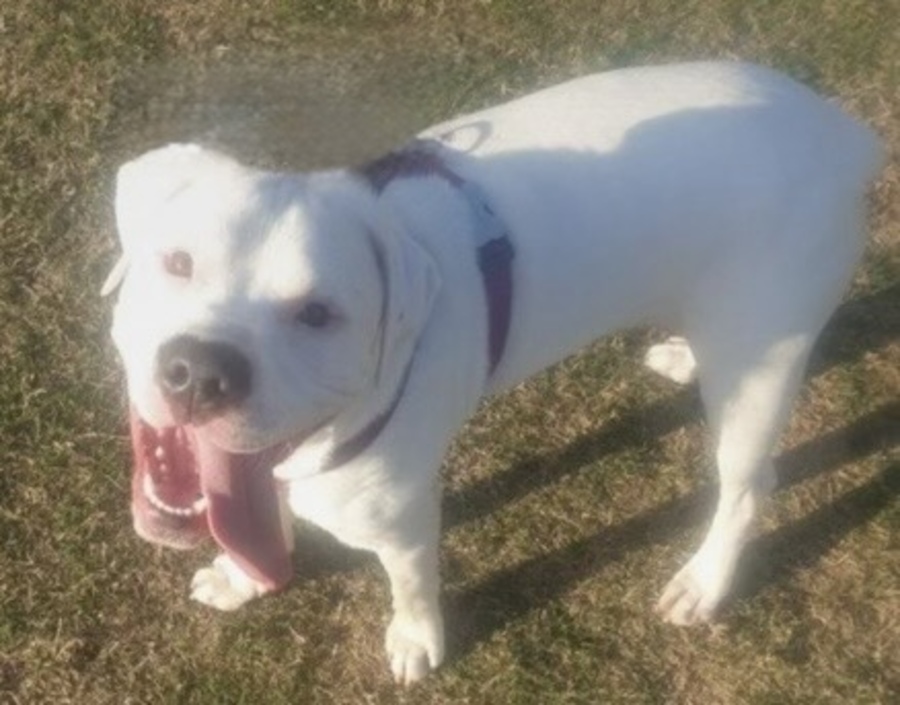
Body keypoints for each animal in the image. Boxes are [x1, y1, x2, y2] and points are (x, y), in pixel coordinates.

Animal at [103, 61, 883, 684]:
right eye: (178, 262)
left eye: (319, 314)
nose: (201, 371)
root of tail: (842, 134)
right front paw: (242, 578)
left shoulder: (404, 521)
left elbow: (412, 584)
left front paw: (416, 640)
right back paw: (685, 355)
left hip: (760, 385)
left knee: (749, 488)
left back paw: (705, 581)